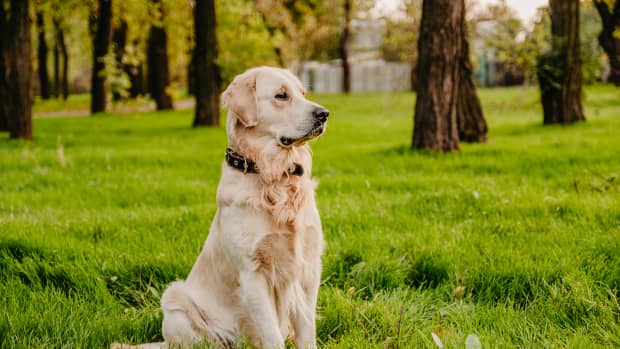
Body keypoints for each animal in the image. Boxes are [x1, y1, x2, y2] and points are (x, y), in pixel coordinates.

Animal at [114, 66, 332, 348]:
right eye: (281, 95)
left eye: (303, 93)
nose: (324, 114)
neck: (273, 175)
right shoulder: (252, 274)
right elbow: (272, 335)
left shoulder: (308, 267)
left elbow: (307, 330)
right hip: (175, 301)